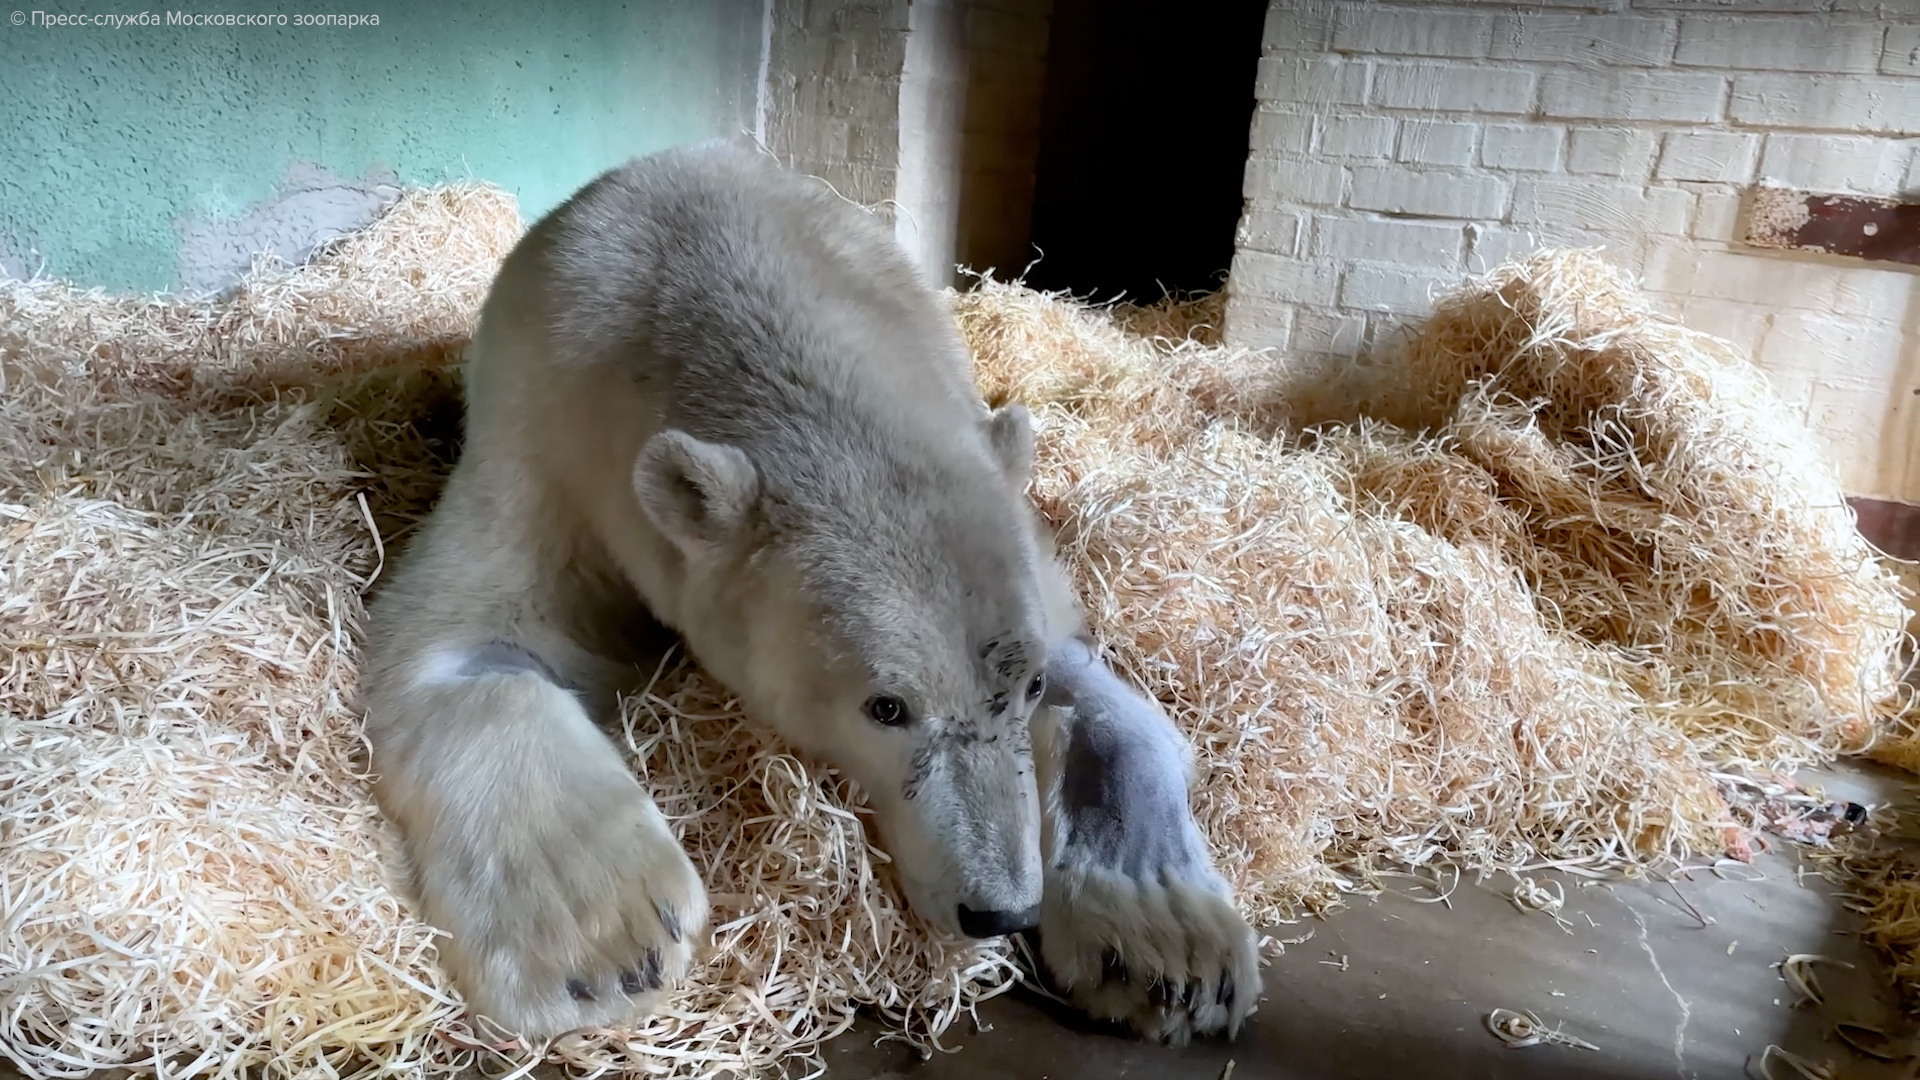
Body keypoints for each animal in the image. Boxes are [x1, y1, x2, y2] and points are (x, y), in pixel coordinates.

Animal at [357, 138, 1259, 1037]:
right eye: (885, 707)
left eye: (1027, 685)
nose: (999, 911)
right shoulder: (550, 437)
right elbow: (474, 635)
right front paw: (604, 943)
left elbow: (1093, 681)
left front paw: (1168, 945)